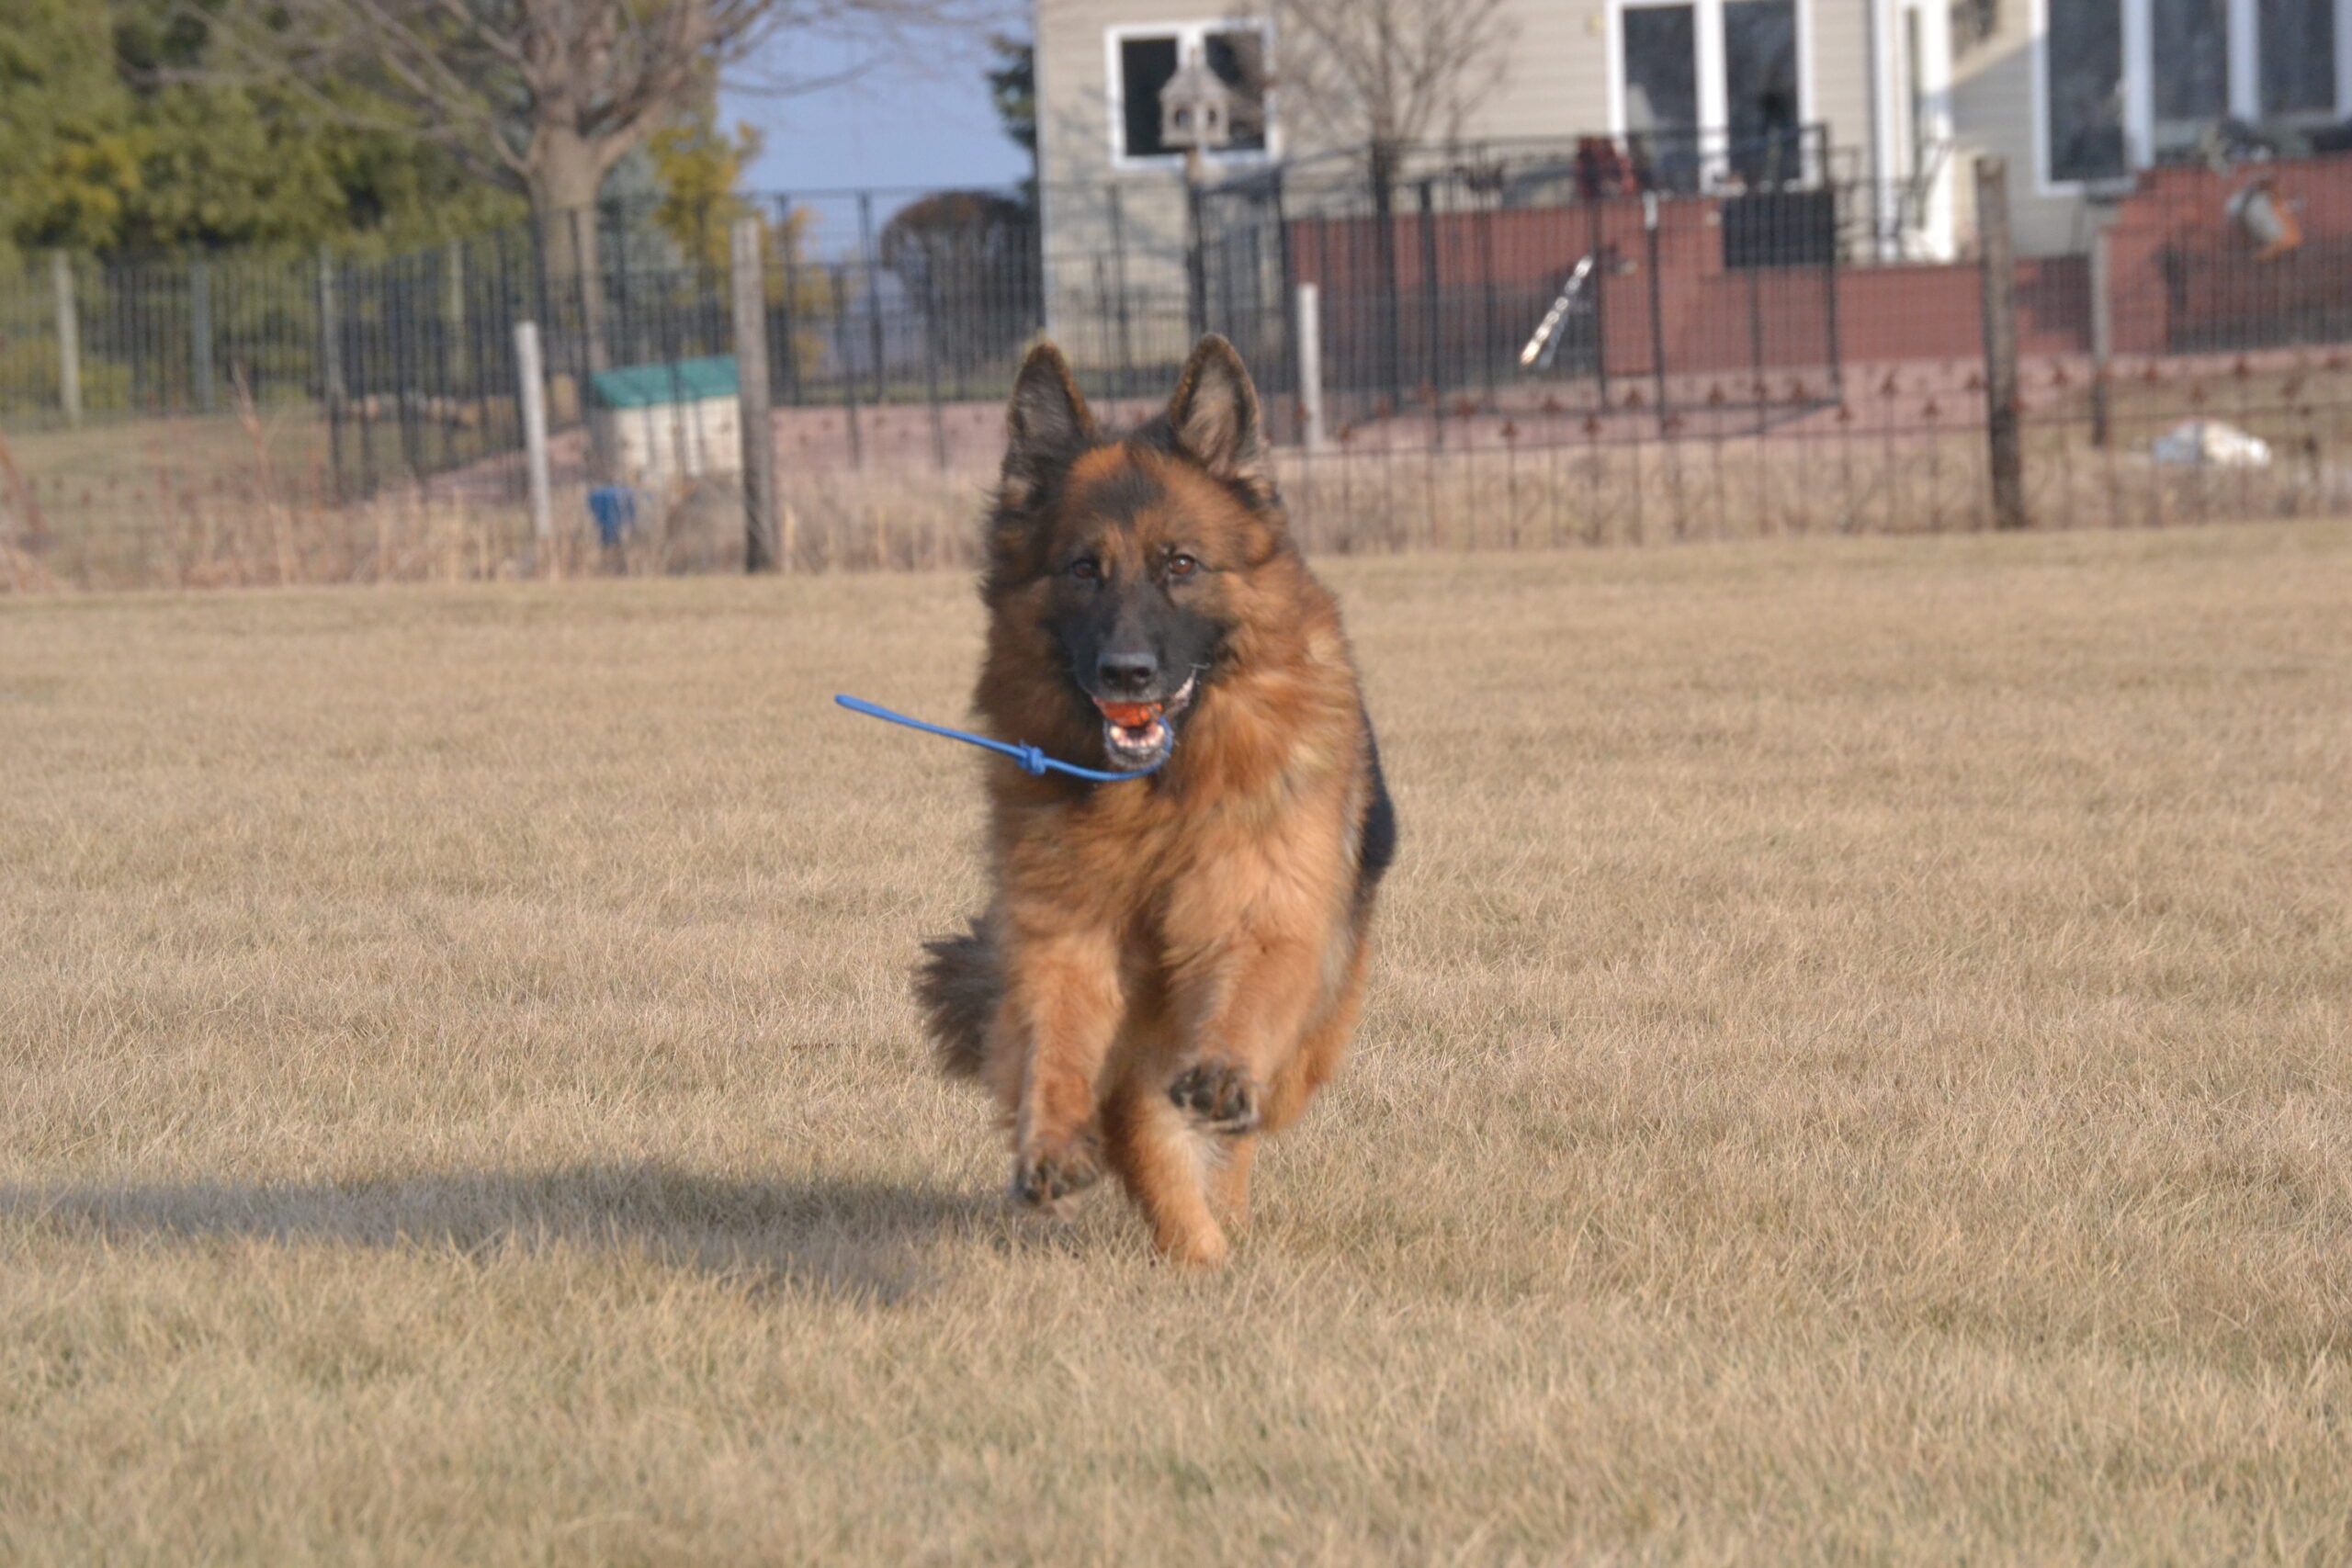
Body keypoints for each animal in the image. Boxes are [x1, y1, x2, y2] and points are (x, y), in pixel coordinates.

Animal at [915, 335, 1396, 1267]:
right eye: (1082, 569)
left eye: (1181, 564)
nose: (1127, 673)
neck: (1154, 803)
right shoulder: (1067, 934)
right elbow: (1057, 1039)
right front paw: (1050, 1141)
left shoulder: (1263, 905)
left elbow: (1245, 998)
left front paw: (1223, 1076)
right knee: (1140, 1122)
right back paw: (1197, 1242)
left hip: (1309, 1034)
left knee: (1245, 1113)